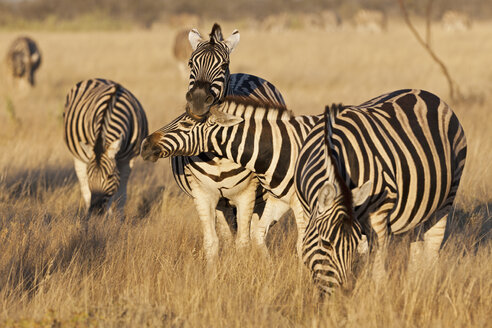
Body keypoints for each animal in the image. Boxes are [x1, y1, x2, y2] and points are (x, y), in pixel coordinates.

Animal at [63, 78, 148, 217]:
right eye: (90, 177)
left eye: (109, 176)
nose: (96, 210)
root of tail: (96, 78)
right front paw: (107, 216)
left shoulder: (128, 160)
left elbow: (121, 194)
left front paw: (118, 218)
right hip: (78, 156)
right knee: (84, 188)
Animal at [140, 95, 320, 258]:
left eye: (186, 124)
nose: (144, 145)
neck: (280, 148)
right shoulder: (279, 200)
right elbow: (254, 236)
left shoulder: (300, 203)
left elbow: (302, 245)